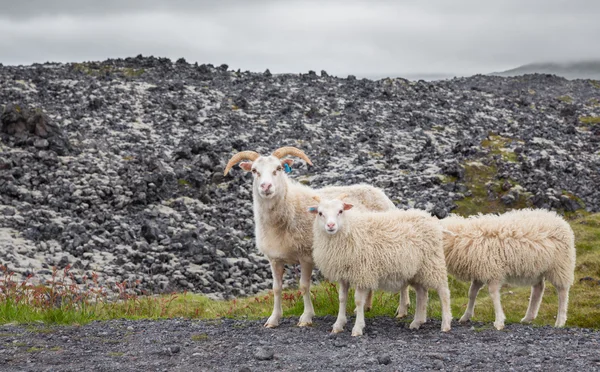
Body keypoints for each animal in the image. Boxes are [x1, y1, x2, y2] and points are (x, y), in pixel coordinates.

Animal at [223, 147, 396, 326]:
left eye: (278, 168)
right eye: (254, 171)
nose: (266, 186)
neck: (289, 208)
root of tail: (378, 191)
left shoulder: (305, 256)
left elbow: (304, 286)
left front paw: (306, 317)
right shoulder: (274, 259)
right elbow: (276, 288)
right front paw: (273, 318)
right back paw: (366, 306)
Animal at [310, 195, 450, 334]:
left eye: (340, 211)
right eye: (320, 213)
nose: (331, 225)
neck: (349, 228)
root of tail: (432, 219)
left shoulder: (362, 273)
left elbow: (358, 301)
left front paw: (357, 328)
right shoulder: (344, 275)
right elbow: (342, 298)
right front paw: (338, 325)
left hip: (433, 264)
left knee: (443, 292)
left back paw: (446, 323)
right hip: (417, 271)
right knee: (422, 294)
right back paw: (417, 322)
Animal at [440, 208, 576, 330]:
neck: (463, 239)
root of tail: (561, 221)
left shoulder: (492, 271)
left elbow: (493, 294)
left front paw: (499, 321)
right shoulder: (480, 271)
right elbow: (472, 293)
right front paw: (466, 316)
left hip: (560, 266)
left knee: (563, 292)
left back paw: (560, 321)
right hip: (536, 268)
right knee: (538, 288)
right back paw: (528, 317)